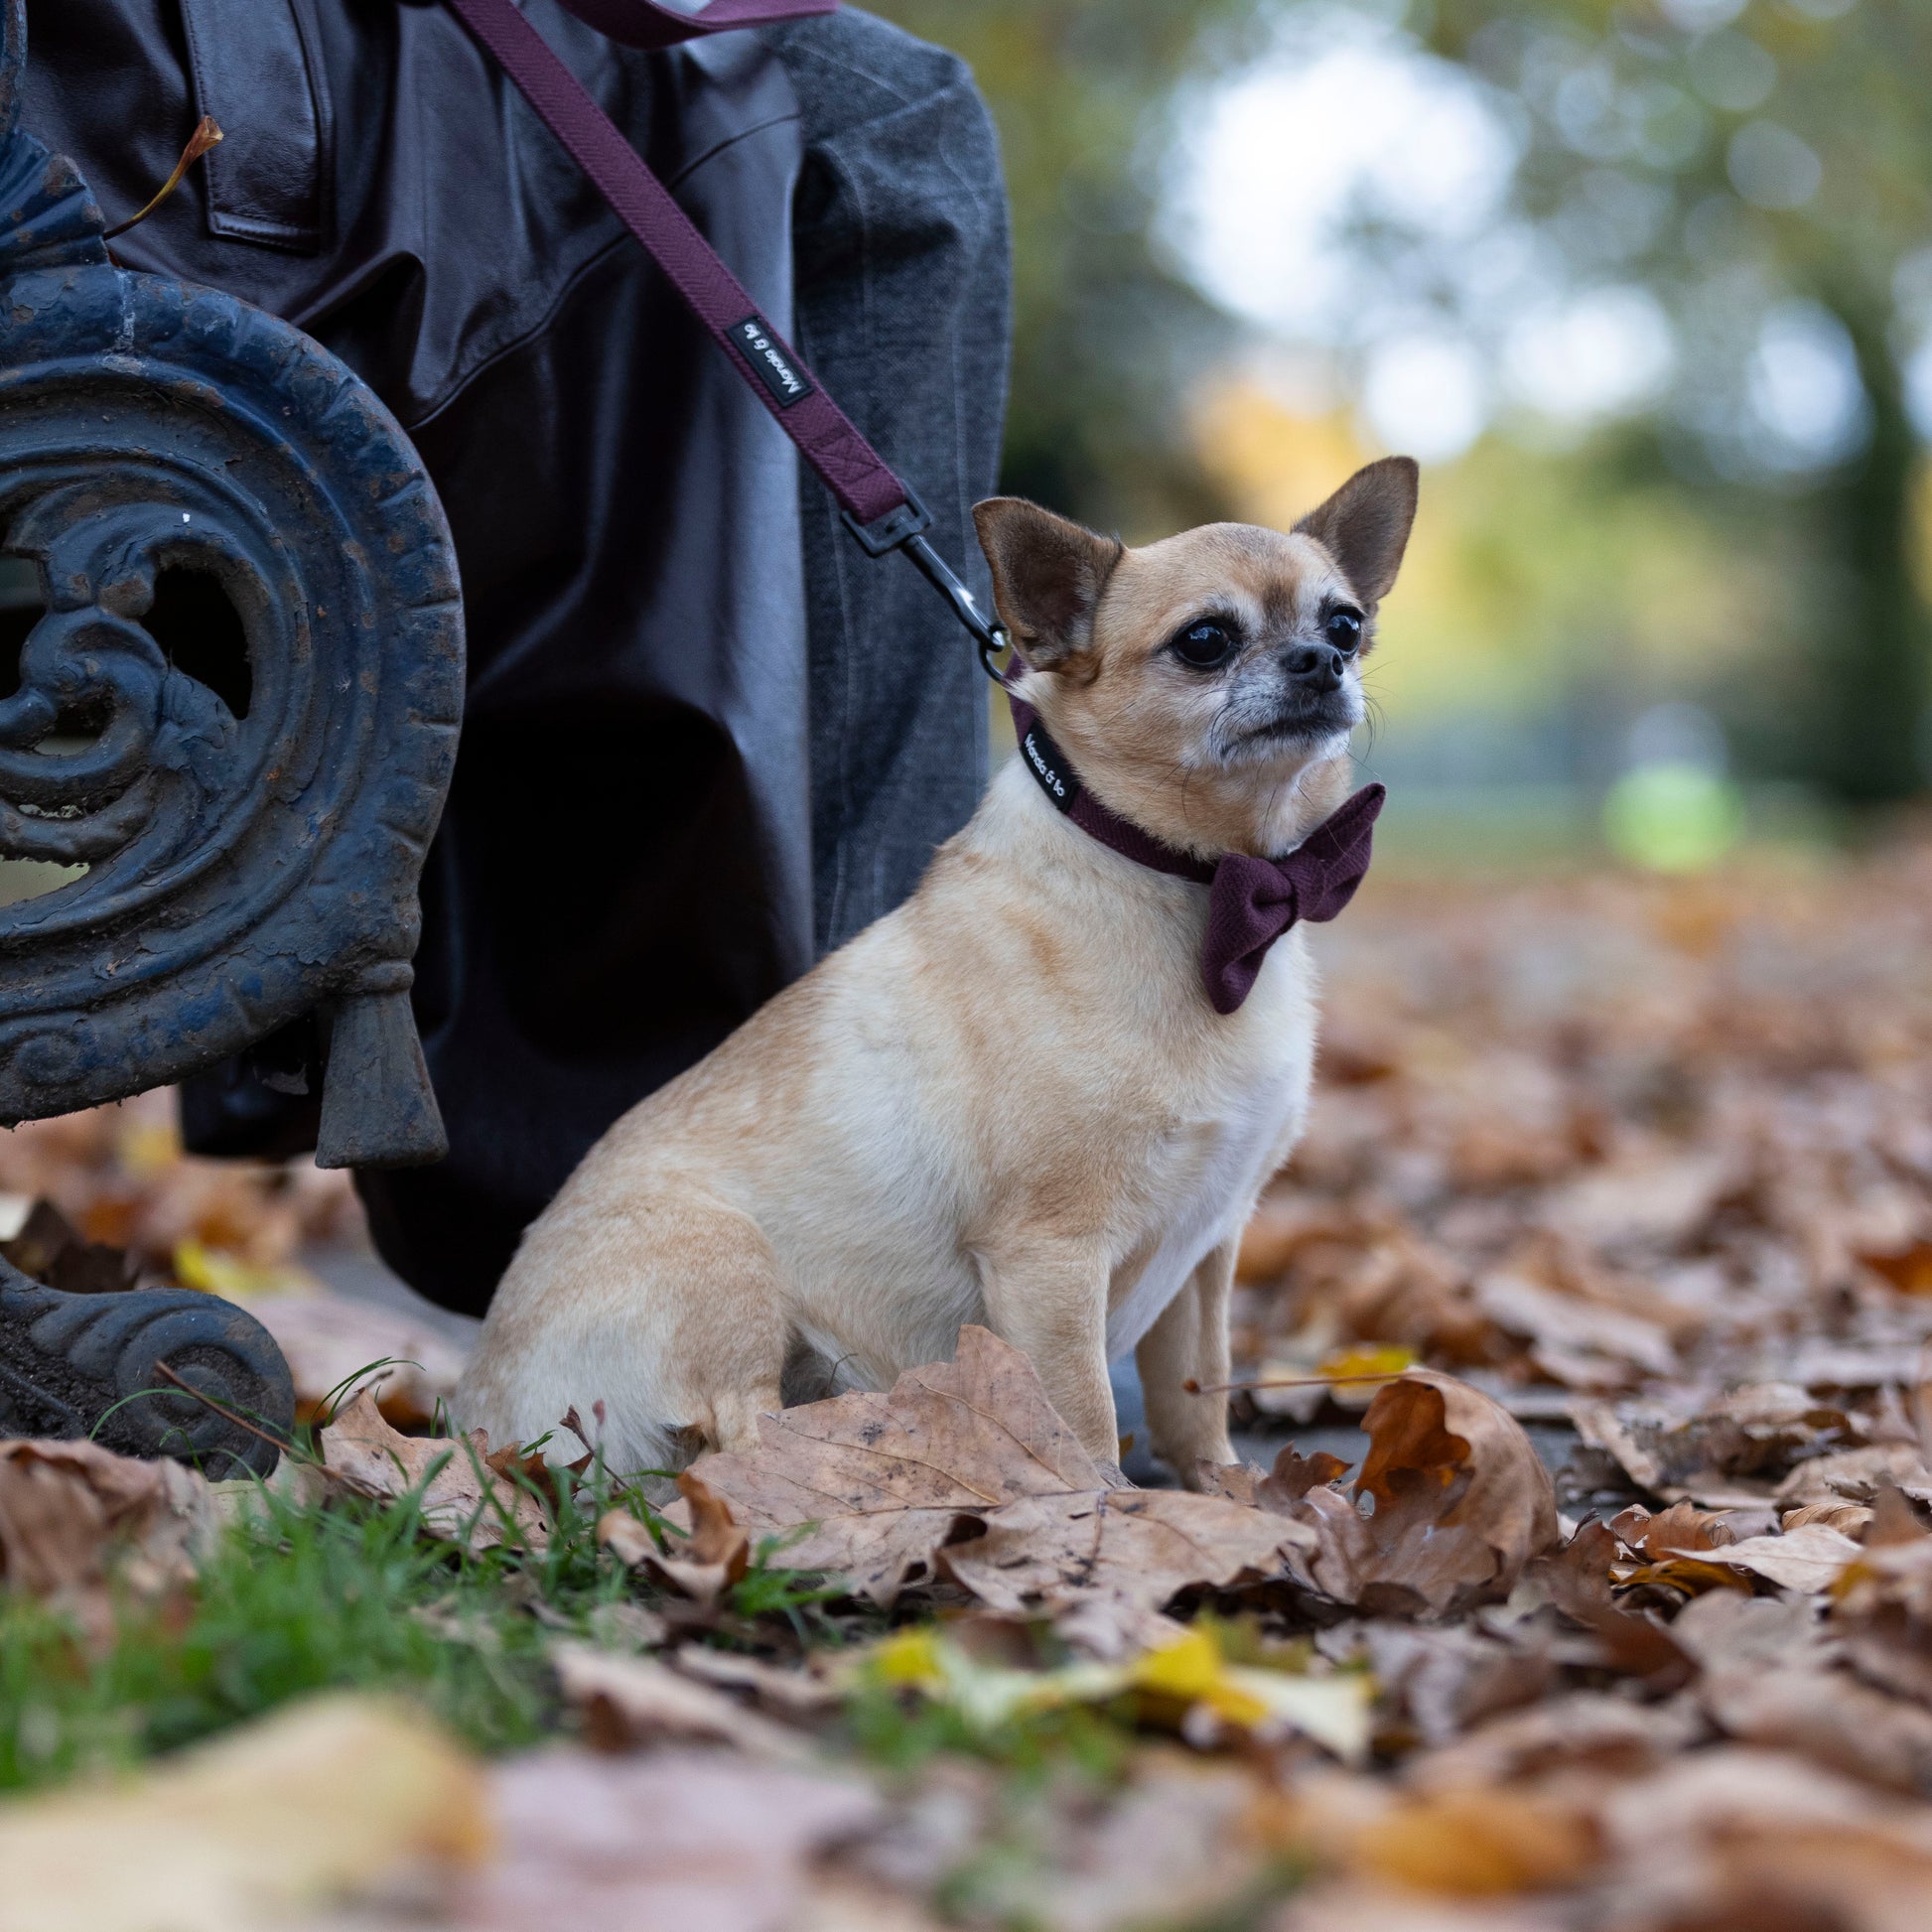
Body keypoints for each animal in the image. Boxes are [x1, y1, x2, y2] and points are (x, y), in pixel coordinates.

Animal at [452, 460, 1422, 1483]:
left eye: (1345, 623)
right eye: (1205, 642)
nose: (1322, 661)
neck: (1211, 887)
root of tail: (476, 1421)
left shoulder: (1207, 1250)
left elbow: (1197, 1395)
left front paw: (1221, 1502)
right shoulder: (1051, 1259)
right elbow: (1079, 1418)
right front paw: (1103, 1505)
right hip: (725, 1264)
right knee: (742, 1438)